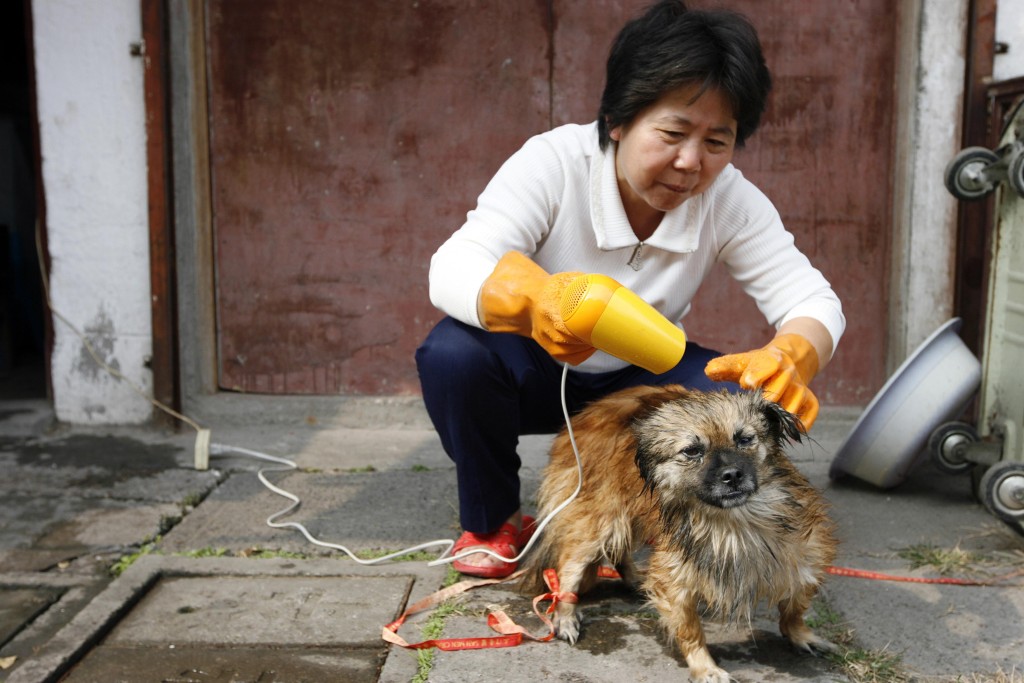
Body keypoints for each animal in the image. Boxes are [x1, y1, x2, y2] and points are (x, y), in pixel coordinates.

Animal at [524, 387, 835, 679]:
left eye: (744, 439)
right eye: (692, 451)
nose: (732, 475)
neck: (733, 523)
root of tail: (582, 416)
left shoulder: (806, 556)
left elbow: (795, 605)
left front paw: (801, 635)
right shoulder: (674, 578)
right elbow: (690, 630)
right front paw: (706, 668)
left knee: (618, 550)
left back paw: (636, 579)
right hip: (597, 521)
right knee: (570, 567)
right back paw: (565, 615)